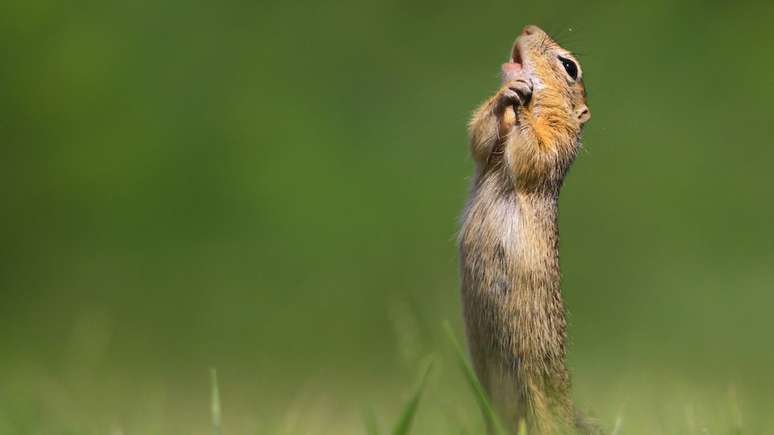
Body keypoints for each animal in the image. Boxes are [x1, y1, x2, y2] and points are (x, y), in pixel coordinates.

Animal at [460, 25, 596, 434]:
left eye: (570, 66)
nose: (527, 28)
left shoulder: (557, 140)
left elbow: (534, 151)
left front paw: (520, 102)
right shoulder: (487, 153)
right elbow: (481, 136)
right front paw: (506, 96)